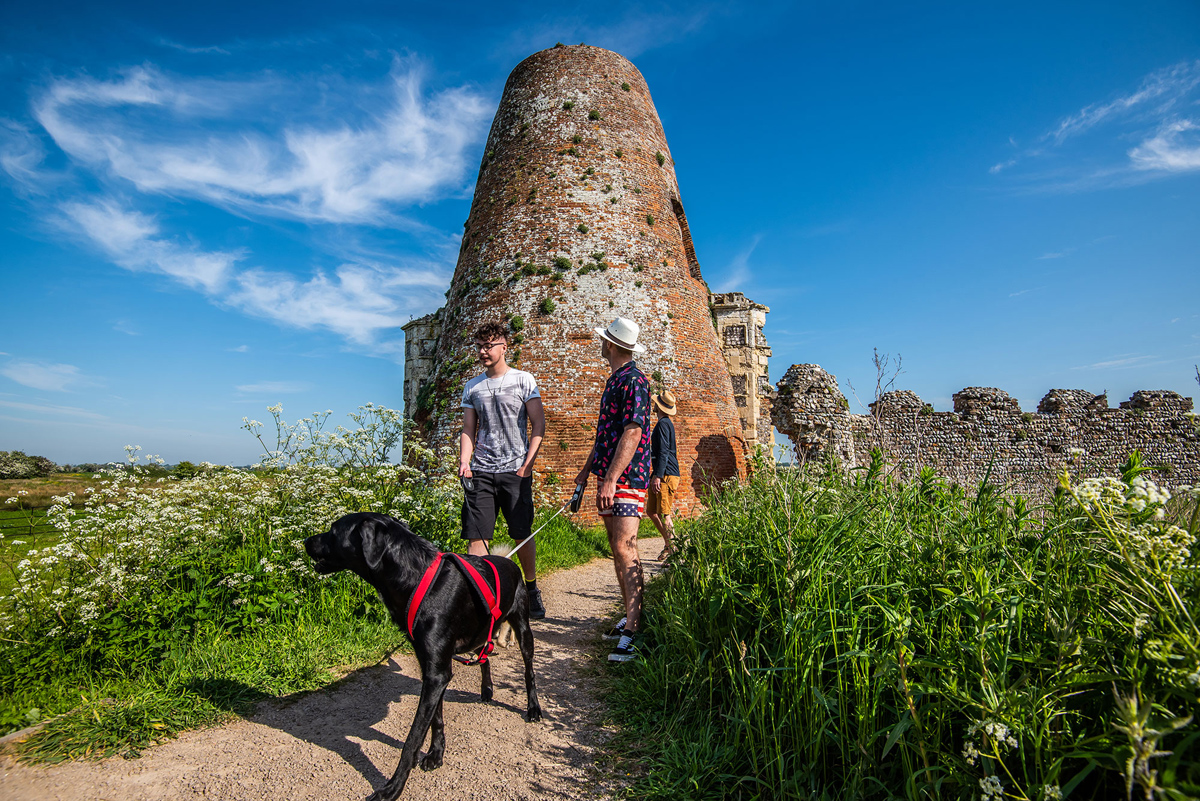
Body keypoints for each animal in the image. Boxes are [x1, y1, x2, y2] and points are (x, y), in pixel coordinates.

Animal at [304, 513, 544, 801]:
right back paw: (486, 689)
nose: (306, 541)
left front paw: (392, 788)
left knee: (529, 672)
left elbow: (412, 739)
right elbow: (436, 720)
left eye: (332, 530)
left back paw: (533, 708)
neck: (415, 577)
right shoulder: (432, 669)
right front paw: (436, 755)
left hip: (522, 629)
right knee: (484, 656)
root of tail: (509, 561)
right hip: (479, 631)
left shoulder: (436, 673)